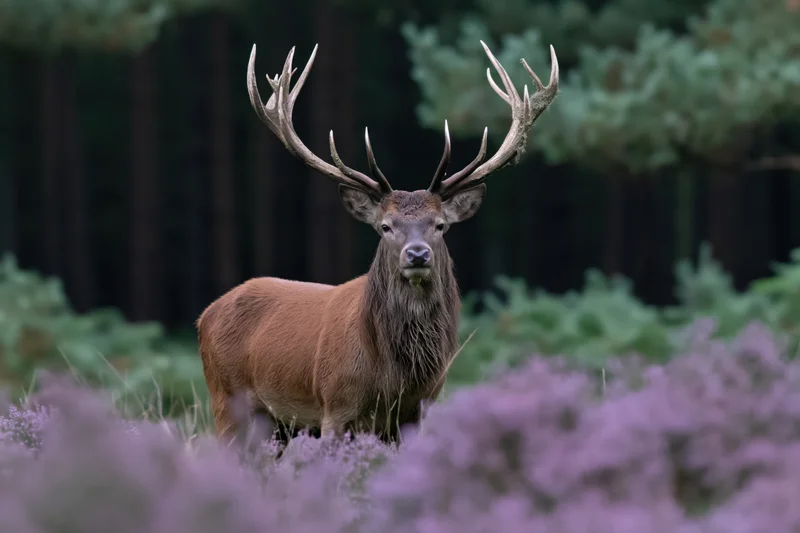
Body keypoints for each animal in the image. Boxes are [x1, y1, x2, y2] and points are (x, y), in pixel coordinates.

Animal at [197, 40, 559, 446]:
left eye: (440, 225)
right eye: (385, 226)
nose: (417, 254)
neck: (394, 378)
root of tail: (204, 316)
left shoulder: (419, 410)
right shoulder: (334, 407)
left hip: (280, 426)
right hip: (226, 401)